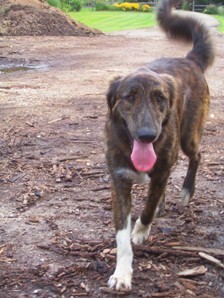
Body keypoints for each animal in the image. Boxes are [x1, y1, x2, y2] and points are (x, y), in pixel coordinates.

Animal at [105, 0, 215, 292]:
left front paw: (141, 230)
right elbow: (122, 236)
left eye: (160, 99)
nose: (147, 136)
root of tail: (188, 60)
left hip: (189, 137)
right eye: (130, 97)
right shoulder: (119, 181)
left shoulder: (161, 168)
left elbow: (146, 208)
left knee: (197, 156)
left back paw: (187, 192)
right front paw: (122, 273)